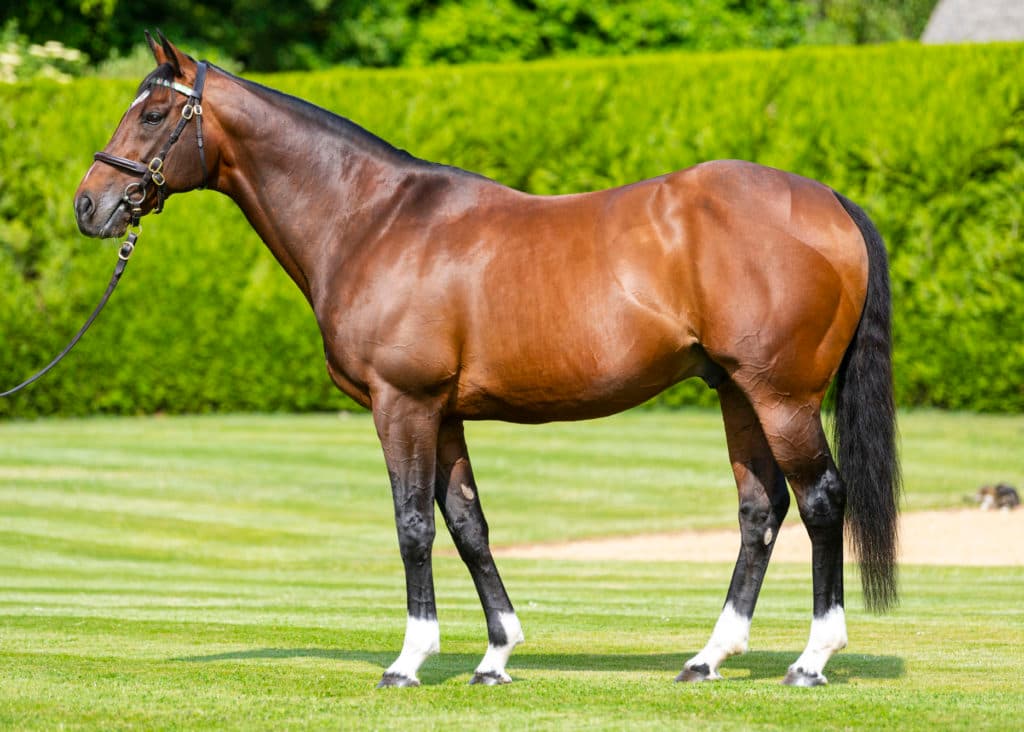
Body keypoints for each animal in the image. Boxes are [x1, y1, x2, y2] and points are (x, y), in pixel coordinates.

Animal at [75, 34, 901, 687]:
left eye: (154, 114)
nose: (90, 205)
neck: (372, 219)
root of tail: (828, 201)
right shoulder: (443, 414)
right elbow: (469, 524)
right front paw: (496, 657)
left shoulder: (402, 403)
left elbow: (413, 523)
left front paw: (409, 661)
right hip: (737, 392)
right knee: (761, 510)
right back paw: (708, 657)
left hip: (781, 395)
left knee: (823, 500)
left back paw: (812, 660)